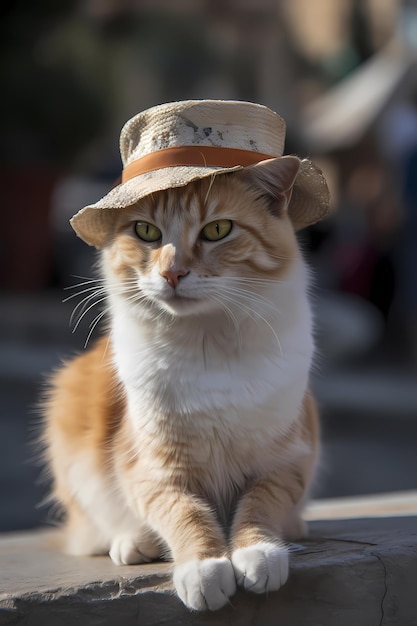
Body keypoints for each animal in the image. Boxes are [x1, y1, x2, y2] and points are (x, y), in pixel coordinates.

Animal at [42, 156, 318, 608]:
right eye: (146, 232)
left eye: (218, 230)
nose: (172, 273)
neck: (208, 344)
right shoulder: (153, 470)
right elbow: (184, 512)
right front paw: (203, 568)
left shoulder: (286, 460)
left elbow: (259, 506)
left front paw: (258, 552)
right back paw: (134, 543)